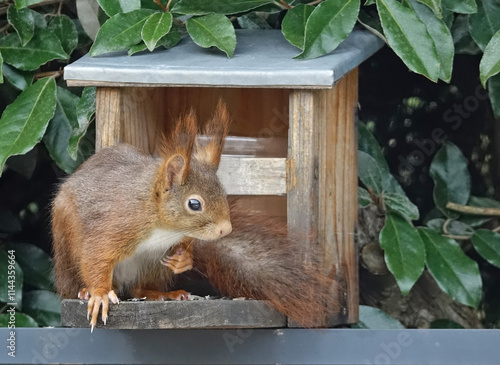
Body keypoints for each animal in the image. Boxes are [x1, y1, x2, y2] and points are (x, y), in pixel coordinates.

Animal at [51, 101, 336, 328]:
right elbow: (96, 256)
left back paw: (162, 294)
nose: (225, 230)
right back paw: (84, 291)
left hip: (152, 265)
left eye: (223, 191)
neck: (163, 226)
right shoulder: (115, 225)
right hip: (66, 248)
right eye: (194, 204)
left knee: (139, 288)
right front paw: (99, 294)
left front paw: (183, 259)